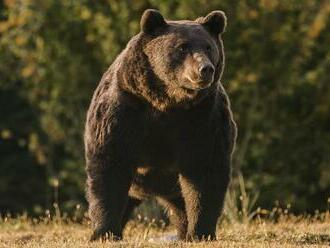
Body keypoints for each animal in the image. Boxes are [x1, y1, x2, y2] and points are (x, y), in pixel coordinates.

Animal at [84, 8, 236, 241]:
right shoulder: (124, 110)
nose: (205, 69)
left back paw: (184, 232)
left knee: (181, 205)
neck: (167, 100)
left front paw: (200, 232)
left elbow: (205, 170)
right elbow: (109, 165)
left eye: (209, 47)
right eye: (182, 47)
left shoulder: (203, 118)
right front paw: (104, 232)